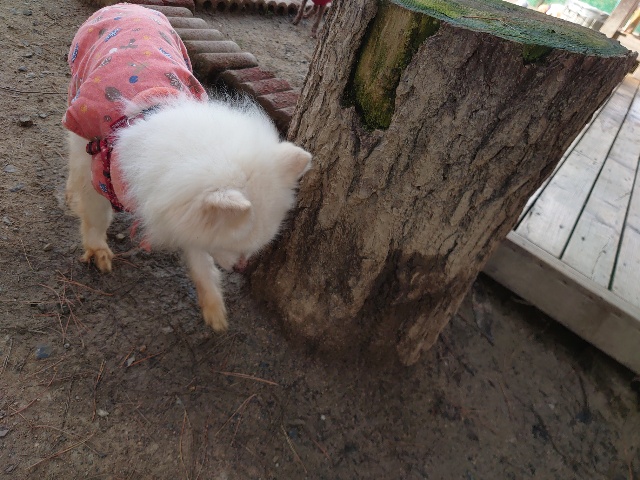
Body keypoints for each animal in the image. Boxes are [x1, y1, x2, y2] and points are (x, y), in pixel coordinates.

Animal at [63, 4, 311, 332]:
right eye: (231, 243)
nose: (241, 266)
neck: (148, 116)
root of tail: (128, 5)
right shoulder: (96, 166)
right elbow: (95, 215)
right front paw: (96, 249)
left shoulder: (178, 208)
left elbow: (199, 261)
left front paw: (213, 306)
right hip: (76, 97)